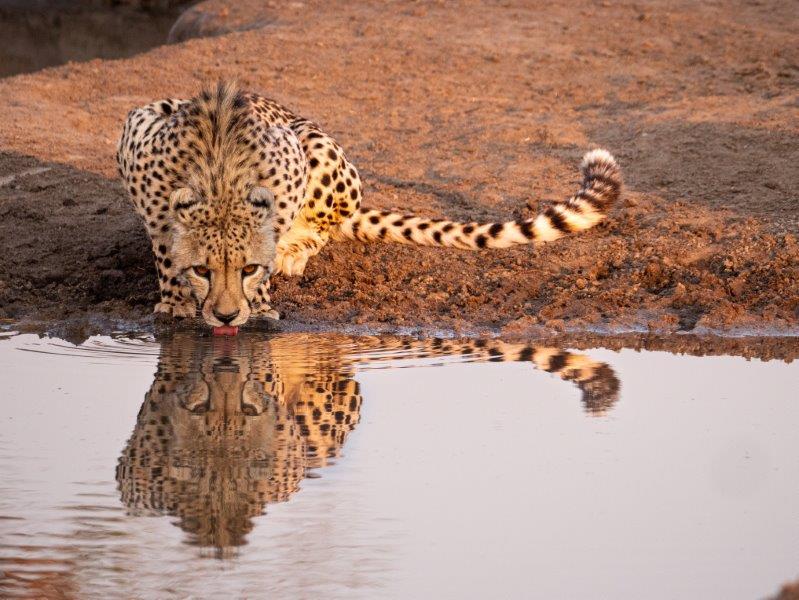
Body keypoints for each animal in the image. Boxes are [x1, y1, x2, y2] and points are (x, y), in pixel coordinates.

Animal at [115, 81, 620, 328]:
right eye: (203, 270)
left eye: (247, 269)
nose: (224, 316)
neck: (218, 173)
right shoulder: (138, 136)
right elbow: (165, 244)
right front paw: (176, 300)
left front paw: (259, 300)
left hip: (321, 147)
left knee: (324, 224)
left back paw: (295, 251)